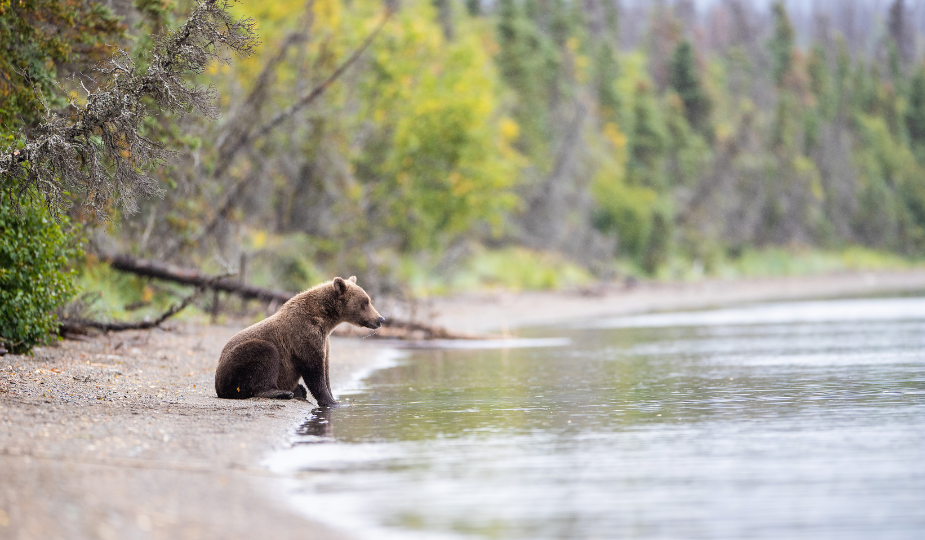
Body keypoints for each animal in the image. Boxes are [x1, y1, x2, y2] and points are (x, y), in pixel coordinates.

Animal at [214, 276, 382, 408]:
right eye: (366, 302)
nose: (381, 319)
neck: (325, 320)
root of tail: (217, 384)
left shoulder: (324, 340)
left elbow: (325, 370)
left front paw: (334, 398)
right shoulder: (303, 334)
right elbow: (314, 369)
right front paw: (333, 402)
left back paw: (298, 390)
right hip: (237, 363)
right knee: (265, 355)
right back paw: (282, 392)